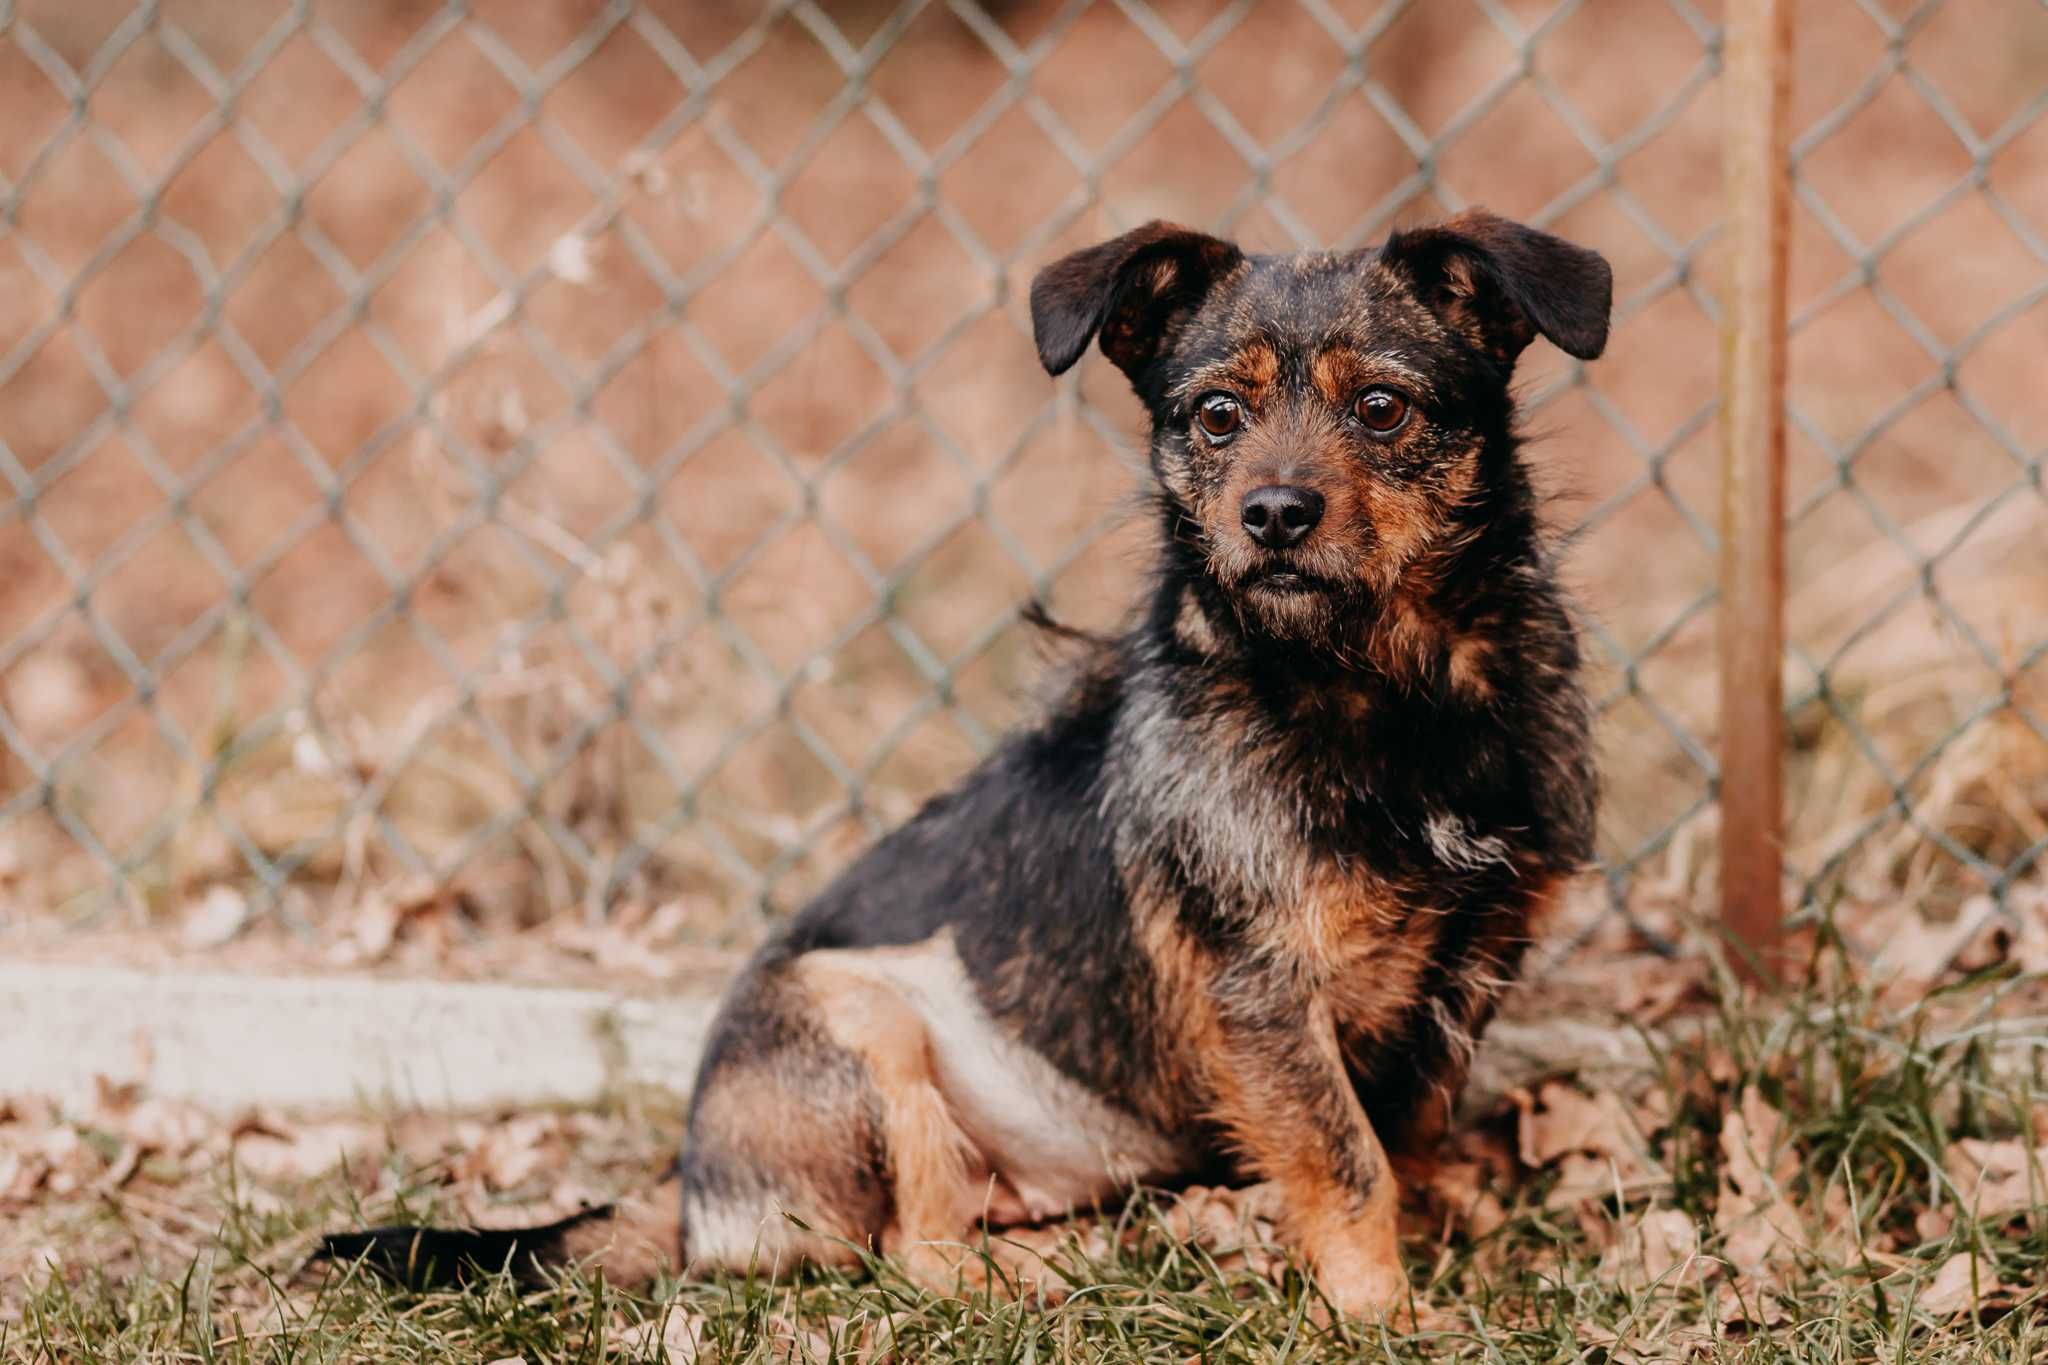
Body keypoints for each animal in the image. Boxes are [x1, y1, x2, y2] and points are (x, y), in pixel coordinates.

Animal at [319, 208, 1605, 1317]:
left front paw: (1434, 1241)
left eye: (1382, 409)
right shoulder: (1265, 992)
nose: (1274, 516)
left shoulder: (1477, 956)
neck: (1387, 693)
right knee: (915, 1253)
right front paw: (1380, 1312)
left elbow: (1410, 1134)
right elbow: (1346, 1164)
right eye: (1213, 418)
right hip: (864, 1020)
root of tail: (687, 1193)